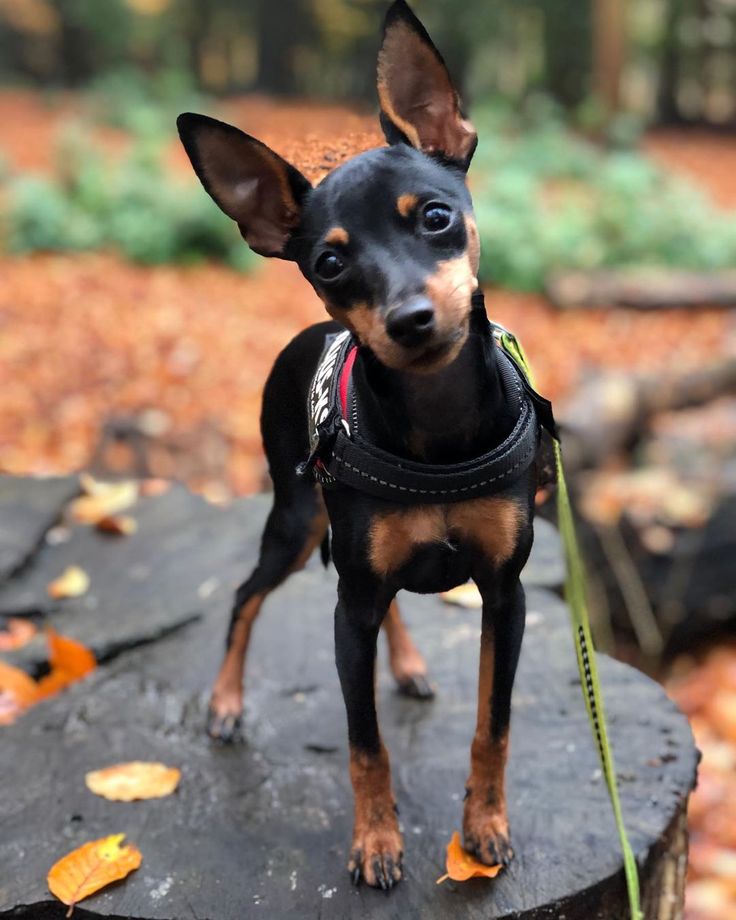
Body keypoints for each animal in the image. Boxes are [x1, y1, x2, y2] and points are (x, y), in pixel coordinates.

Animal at [178, 0, 548, 892]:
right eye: (329, 262)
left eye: (436, 217)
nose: (411, 320)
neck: (437, 423)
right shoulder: (350, 605)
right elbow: (363, 743)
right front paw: (377, 844)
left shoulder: (505, 595)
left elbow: (493, 725)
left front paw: (484, 828)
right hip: (295, 522)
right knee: (246, 595)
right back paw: (227, 703)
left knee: (388, 604)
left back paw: (407, 665)